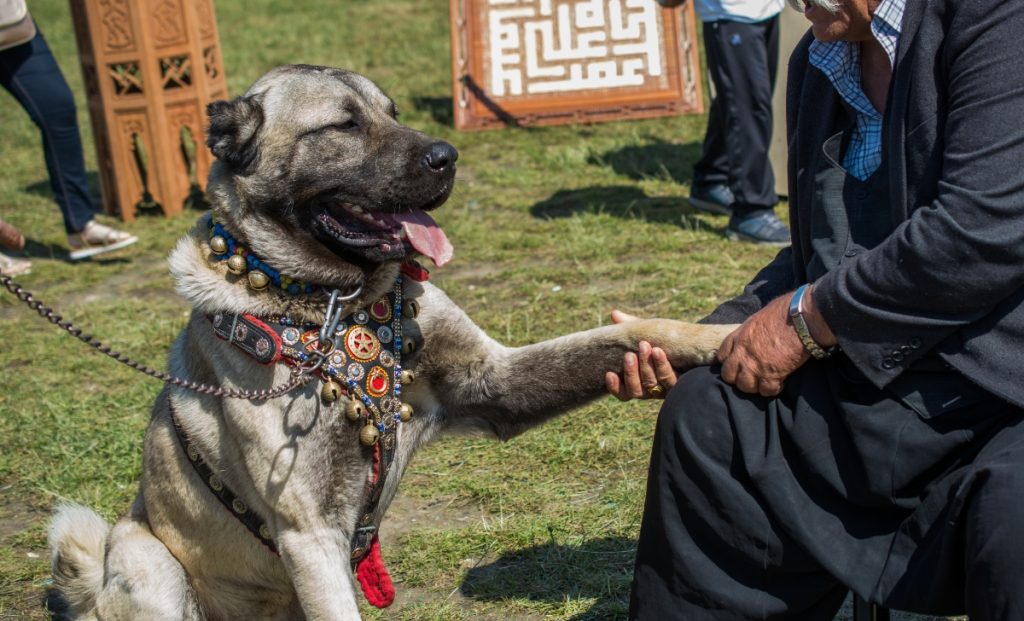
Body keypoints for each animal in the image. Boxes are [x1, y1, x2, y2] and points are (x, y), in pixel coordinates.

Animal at [49, 64, 737, 621]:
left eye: (393, 112)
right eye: (344, 125)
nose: (448, 156)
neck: (338, 308)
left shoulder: (494, 381)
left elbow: (635, 330)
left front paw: (735, 334)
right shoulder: (310, 536)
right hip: (145, 559)